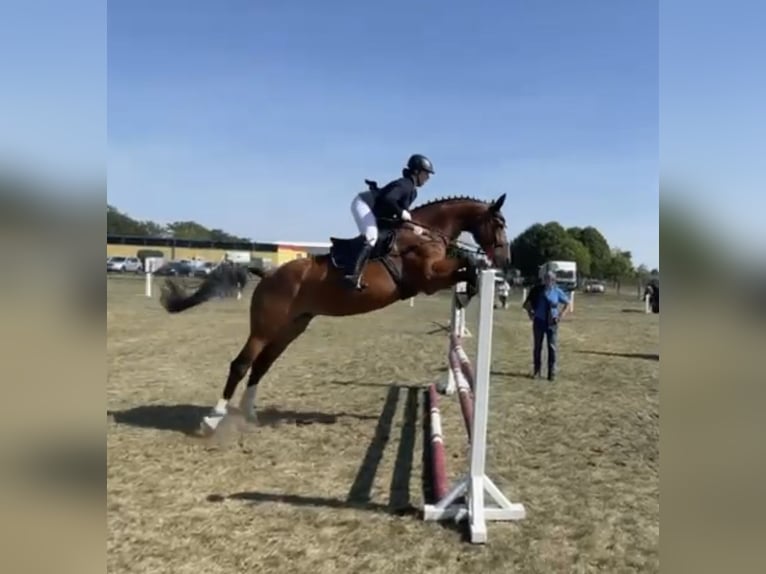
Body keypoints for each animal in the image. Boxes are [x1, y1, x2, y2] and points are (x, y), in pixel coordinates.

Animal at [159, 193, 510, 432]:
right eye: (499, 224)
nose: (505, 260)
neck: (426, 233)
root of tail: (267, 274)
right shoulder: (427, 278)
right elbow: (464, 265)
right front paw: (474, 281)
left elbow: (465, 267)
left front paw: (472, 288)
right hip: (264, 327)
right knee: (241, 364)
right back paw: (213, 419)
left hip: (290, 329)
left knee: (262, 365)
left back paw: (249, 415)